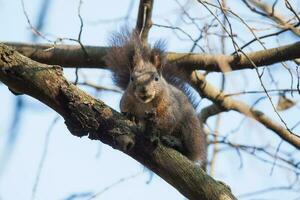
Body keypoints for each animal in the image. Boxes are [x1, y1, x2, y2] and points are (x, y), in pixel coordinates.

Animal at [103, 30, 206, 164]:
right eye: (132, 78)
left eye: (156, 78)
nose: (144, 89)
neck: (145, 104)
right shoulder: (125, 102)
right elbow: (125, 111)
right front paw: (131, 116)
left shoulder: (169, 107)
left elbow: (168, 121)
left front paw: (155, 124)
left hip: (190, 129)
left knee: (188, 151)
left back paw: (175, 142)